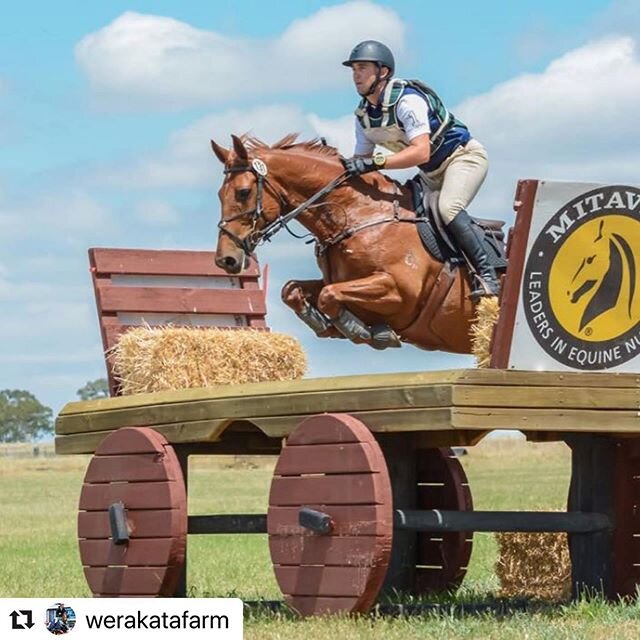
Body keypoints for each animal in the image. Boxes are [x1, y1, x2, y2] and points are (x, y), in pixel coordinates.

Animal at [212, 134, 498, 352]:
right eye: (219, 194)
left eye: (243, 192)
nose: (226, 259)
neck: (359, 214)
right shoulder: (338, 280)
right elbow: (291, 289)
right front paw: (323, 323)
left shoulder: (399, 290)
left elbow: (329, 295)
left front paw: (363, 331)